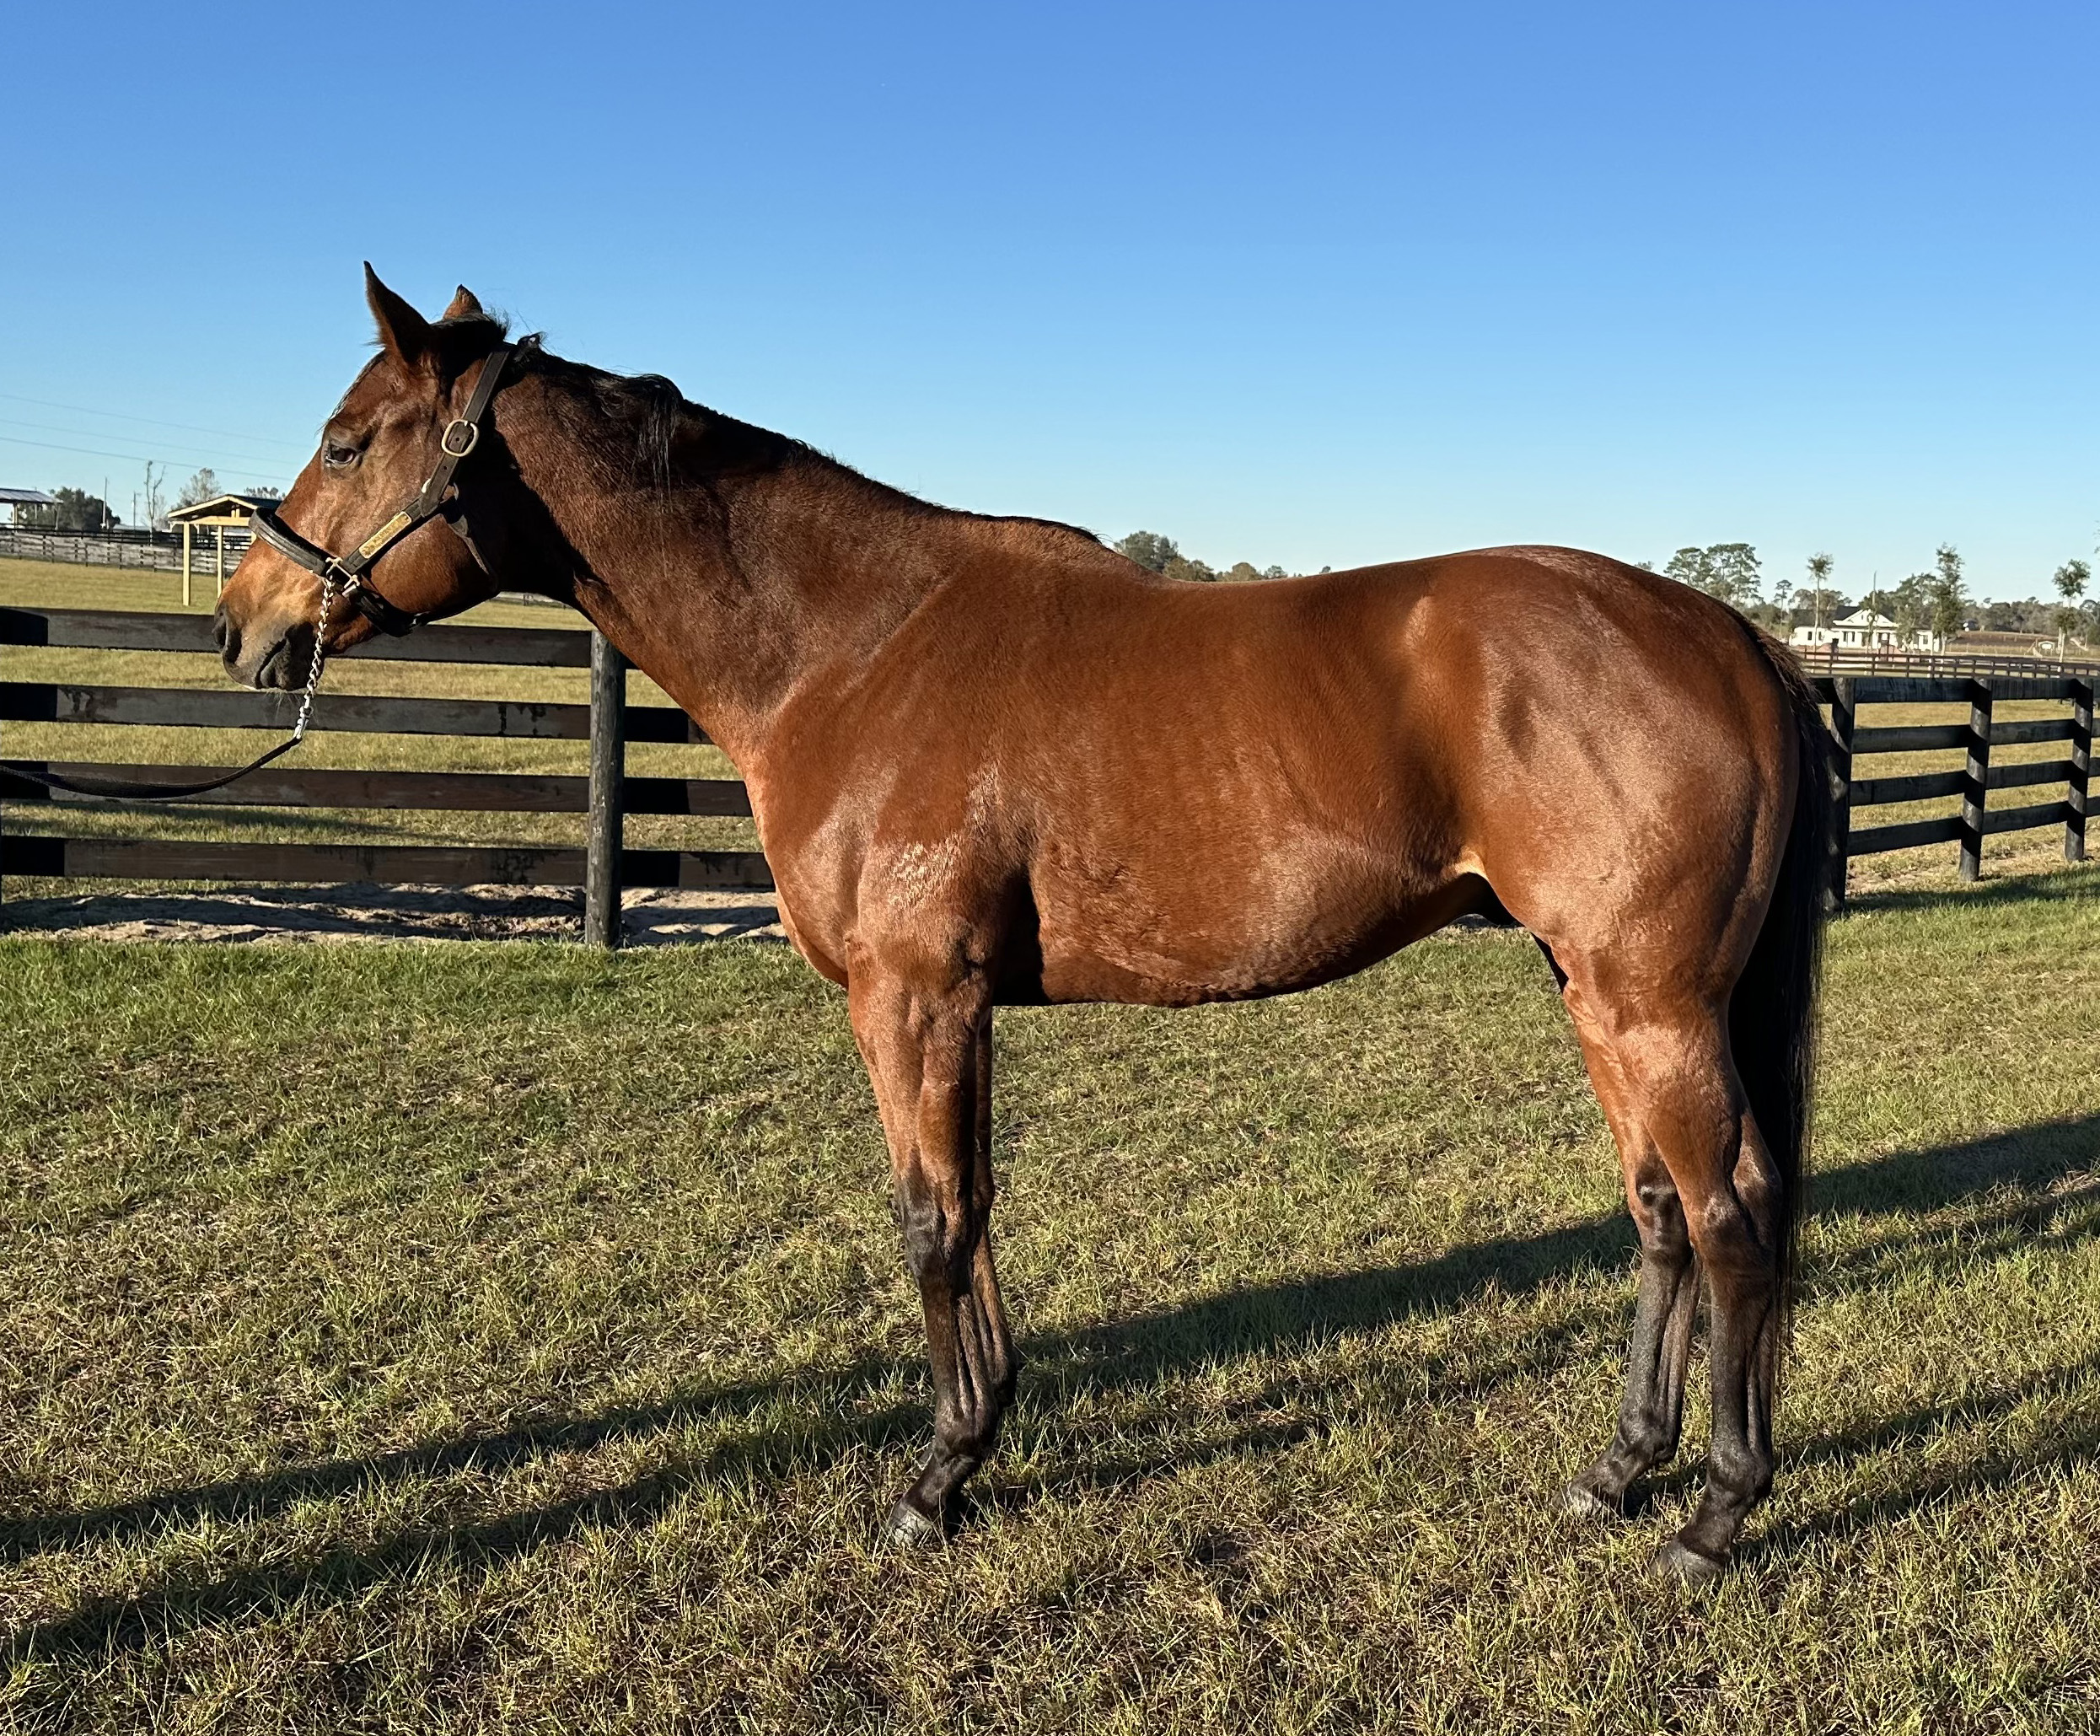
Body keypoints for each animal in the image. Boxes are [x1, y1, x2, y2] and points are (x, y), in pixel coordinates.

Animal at [214, 269, 1831, 1583]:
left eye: (348, 439)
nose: (243, 623)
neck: (853, 646)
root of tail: (1729, 634)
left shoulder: (910, 992)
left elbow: (928, 1218)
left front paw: (930, 1479)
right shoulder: (962, 1002)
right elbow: (976, 1207)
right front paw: (977, 1438)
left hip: (1649, 1000)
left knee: (1733, 1214)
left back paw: (1713, 1514)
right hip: (1590, 988)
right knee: (1660, 1211)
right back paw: (1618, 1470)